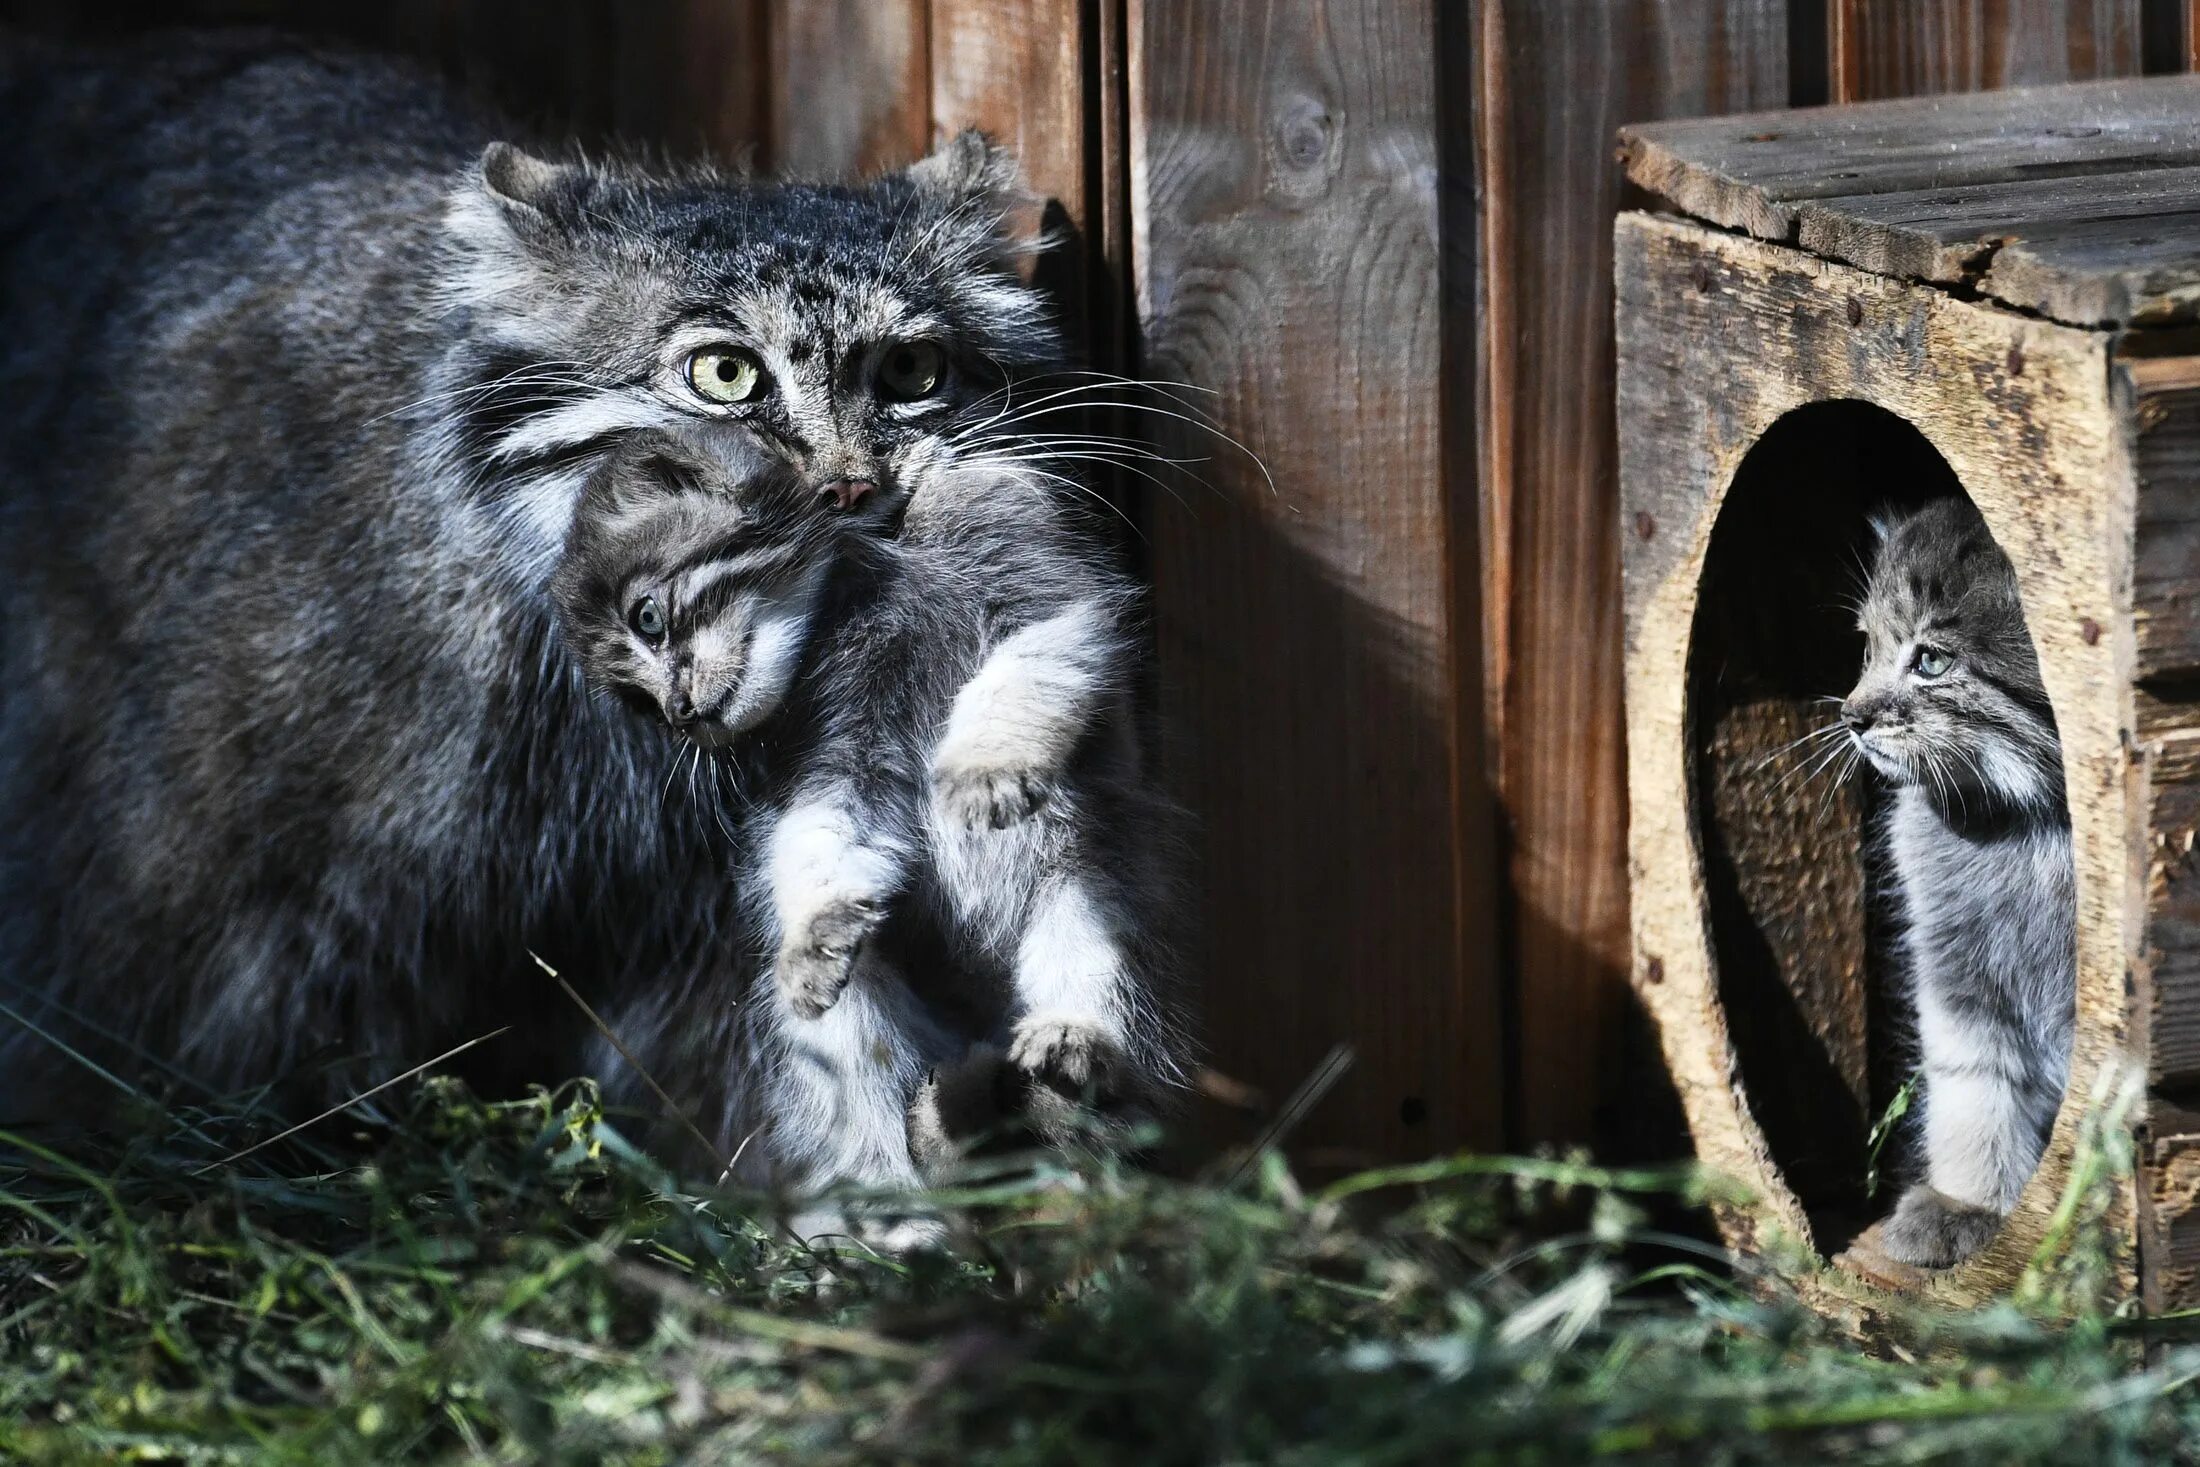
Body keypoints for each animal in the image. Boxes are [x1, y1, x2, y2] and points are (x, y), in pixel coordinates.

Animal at [1839, 499, 2076, 1266]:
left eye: (1932, 660)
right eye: (1867, 649)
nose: (1851, 717)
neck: (2030, 829)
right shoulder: (1957, 967)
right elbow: (1974, 1085)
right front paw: (1971, 1203)